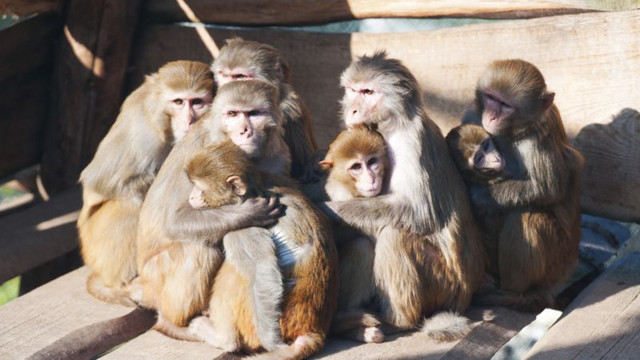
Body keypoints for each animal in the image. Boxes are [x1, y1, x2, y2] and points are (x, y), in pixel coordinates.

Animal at [77, 59, 215, 306]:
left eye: (197, 102)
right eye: (179, 102)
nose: (189, 120)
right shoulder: (144, 133)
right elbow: (99, 179)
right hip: (97, 246)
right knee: (131, 205)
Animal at [182, 139, 338, 358]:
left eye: (199, 188)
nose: (192, 196)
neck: (254, 190)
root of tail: (314, 330)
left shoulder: (244, 229)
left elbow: (262, 272)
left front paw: (270, 340)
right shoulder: (278, 180)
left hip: (252, 324)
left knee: (236, 273)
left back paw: (223, 339)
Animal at [318, 52, 488, 342]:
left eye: (368, 92)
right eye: (352, 91)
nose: (353, 110)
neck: (394, 121)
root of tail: (466, 296)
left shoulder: (408, 142)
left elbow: (419, 212)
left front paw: (325, 207)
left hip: (442, 285)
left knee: (394, 235)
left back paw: (395, 322)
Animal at [460, 58, 584, 310]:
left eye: (505, 105)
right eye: (491, 98)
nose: (491, 116)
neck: (510, 133)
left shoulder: (536, 137)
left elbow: (546, 188)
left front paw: (476, 196)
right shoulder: (472, 115)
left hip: (557, 265)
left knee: (526, 214)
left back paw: (515, 294)